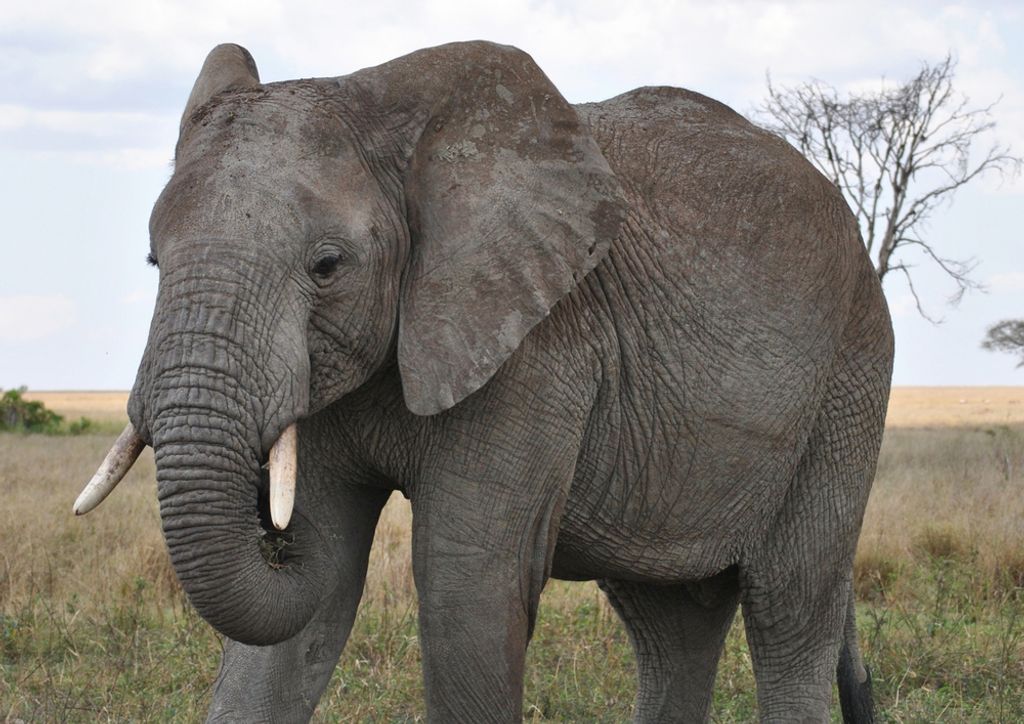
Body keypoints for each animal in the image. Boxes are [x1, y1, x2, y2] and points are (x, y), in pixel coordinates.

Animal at [77, 41, 892, 722]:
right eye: (153, 260)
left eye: (328, 266)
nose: (271, 533)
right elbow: (313, 599)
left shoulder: (536, 348)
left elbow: (463, 592)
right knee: (673, 623)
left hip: (850, 379)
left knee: (789, 607)